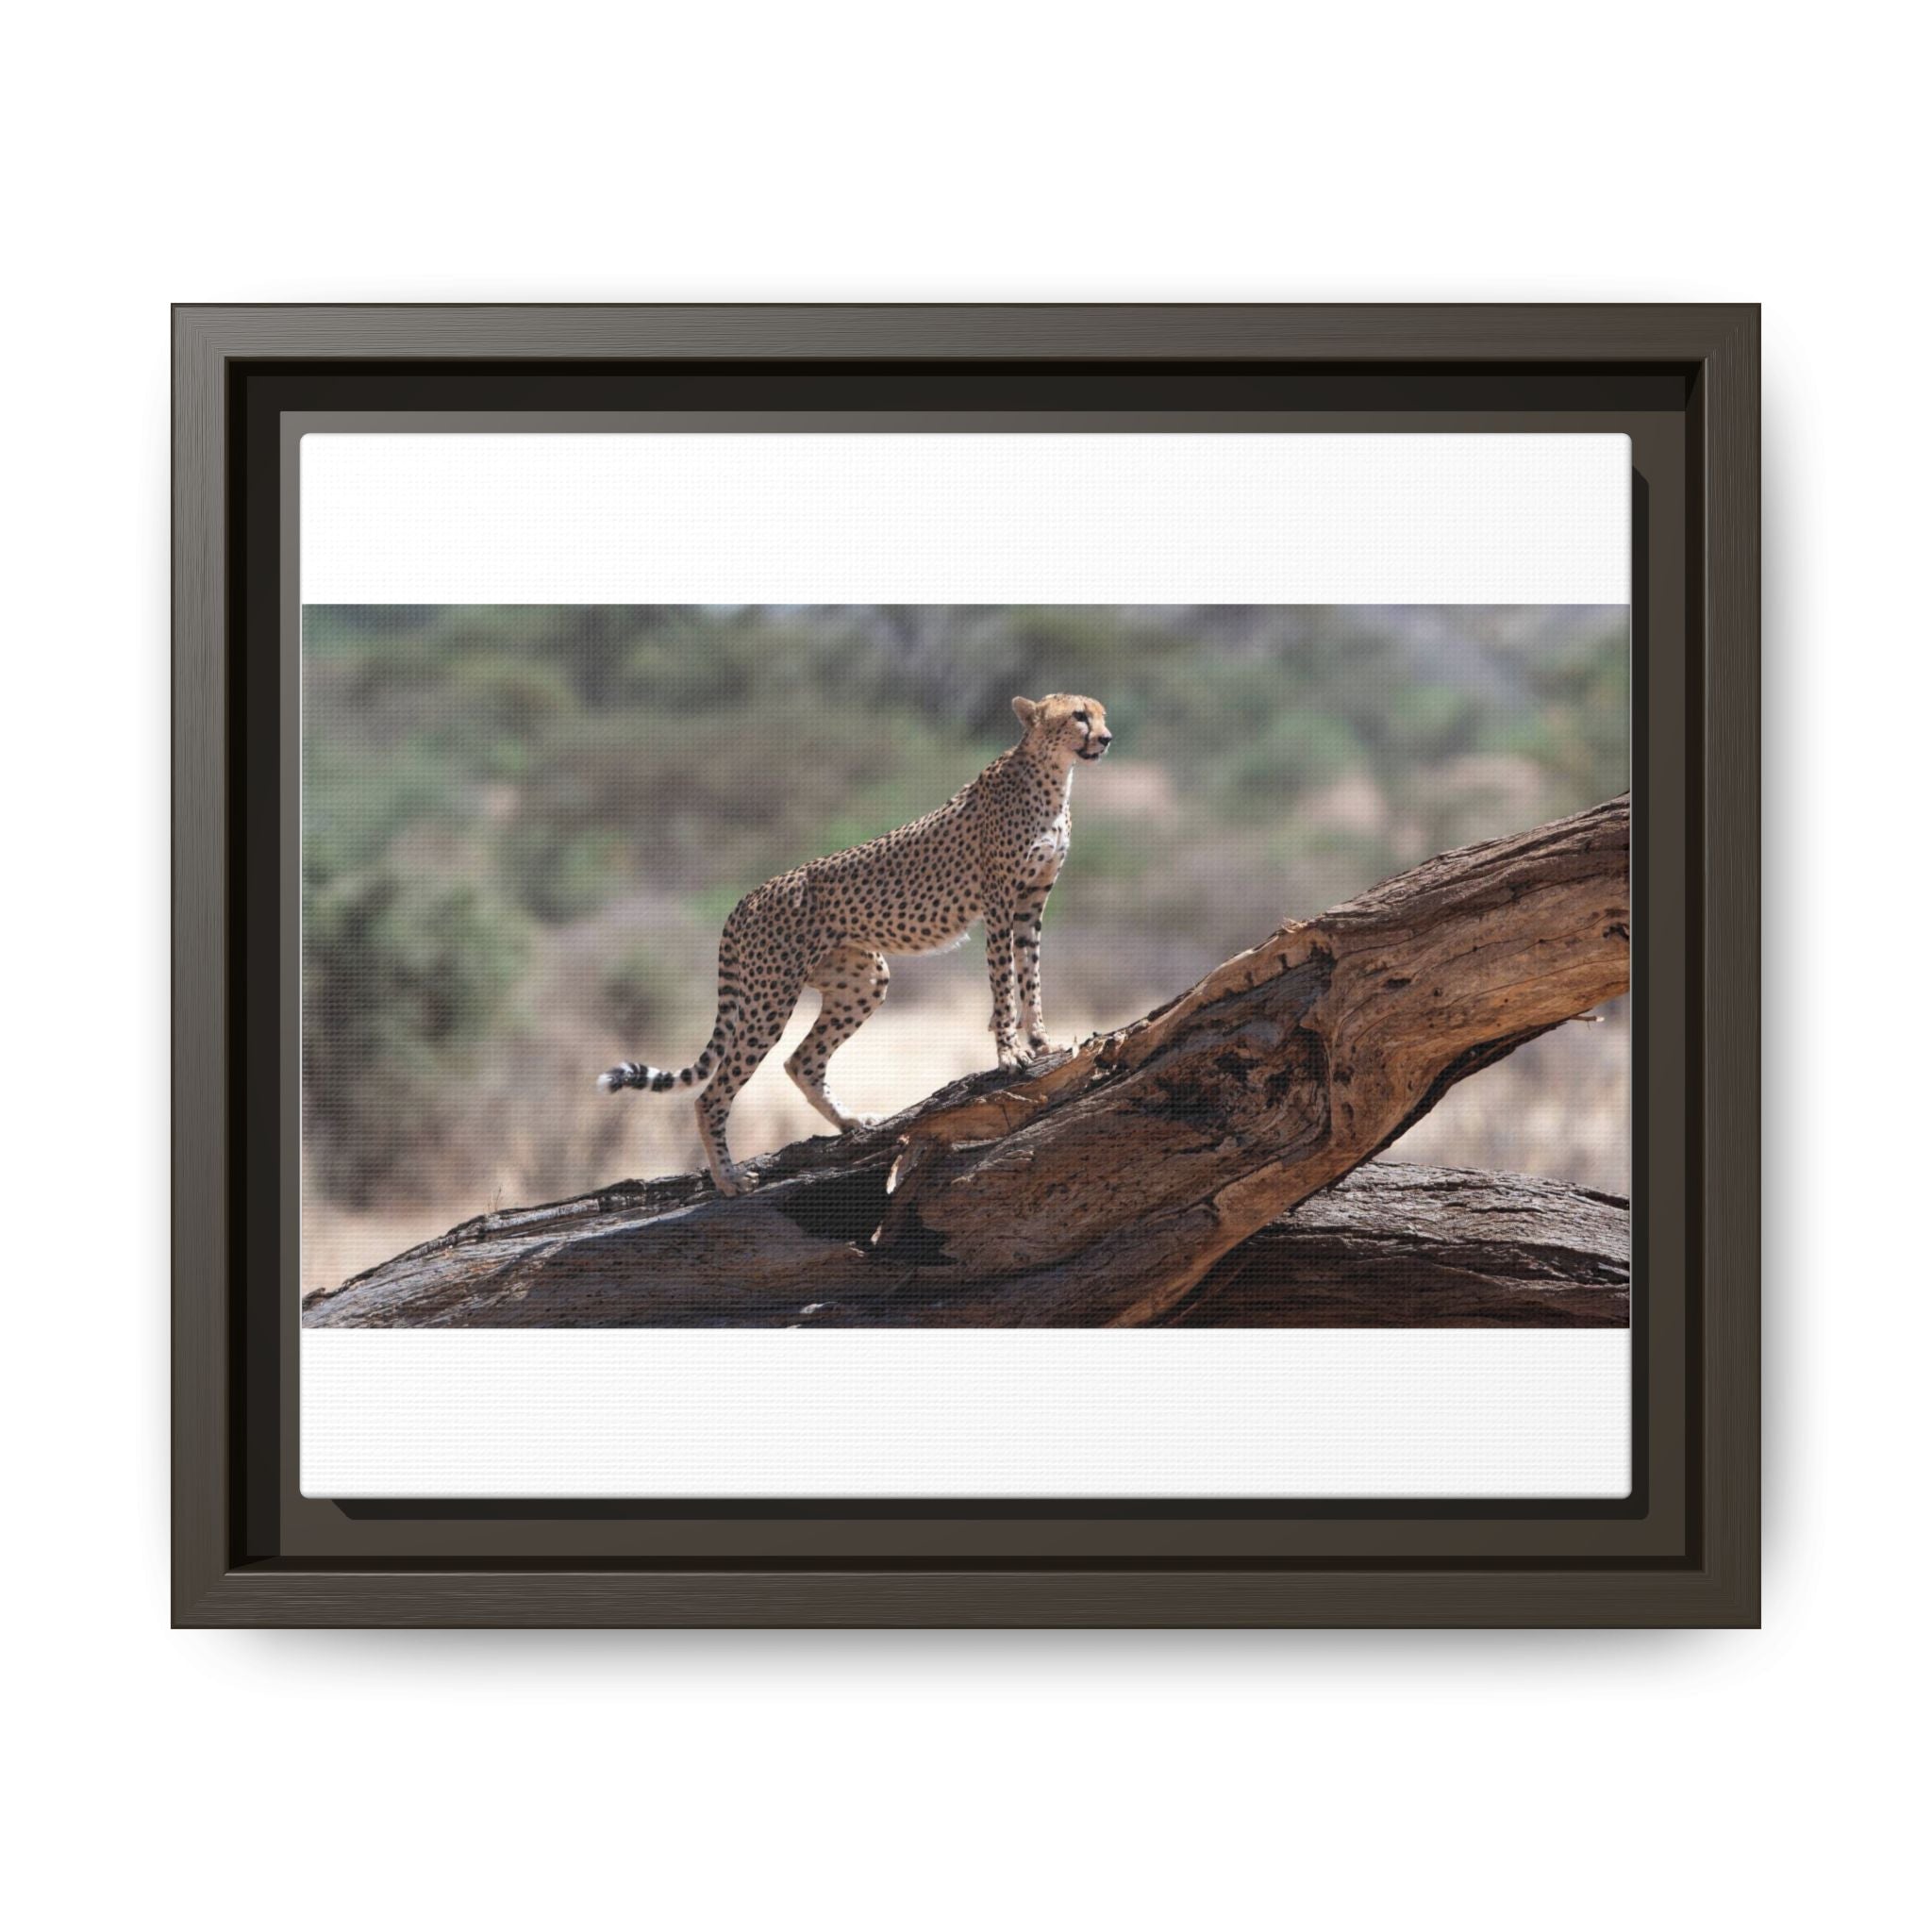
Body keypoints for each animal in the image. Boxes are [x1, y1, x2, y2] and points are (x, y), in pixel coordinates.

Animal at [598, 692, 1114, 1195]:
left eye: (1101, 714)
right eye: (1078, 716)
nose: (1107, 738)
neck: (1053, 776)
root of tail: (748, 896)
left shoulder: (1031, 904)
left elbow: (1030, 976)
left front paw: (1042, 1040)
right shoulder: (1000, 903)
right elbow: (1004, 983)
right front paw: (1009, 1053)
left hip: (862, 978)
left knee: (801, 1061)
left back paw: (850, 1122)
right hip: (770, 997)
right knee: (713, 1093)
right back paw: (729, 1179)